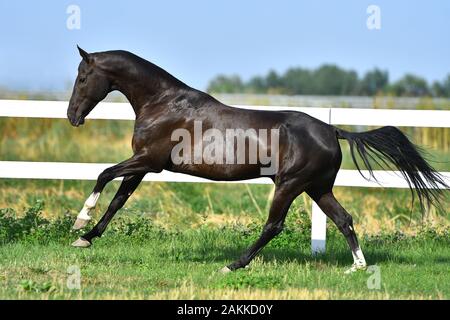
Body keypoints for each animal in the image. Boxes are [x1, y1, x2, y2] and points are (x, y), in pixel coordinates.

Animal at [67, 47, 446, 272]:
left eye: (83, 77)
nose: (72, 117)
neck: (164, 104)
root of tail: (332, 130)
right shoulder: (143, 163)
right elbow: (118, 199)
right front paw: (86, 238)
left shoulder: (148, 160)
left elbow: (104, 175)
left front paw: (78, 221)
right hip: (318, 188)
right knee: (344, 219)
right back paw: (358, 267)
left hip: (290, 184)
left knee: (273, 226)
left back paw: (234, 265)